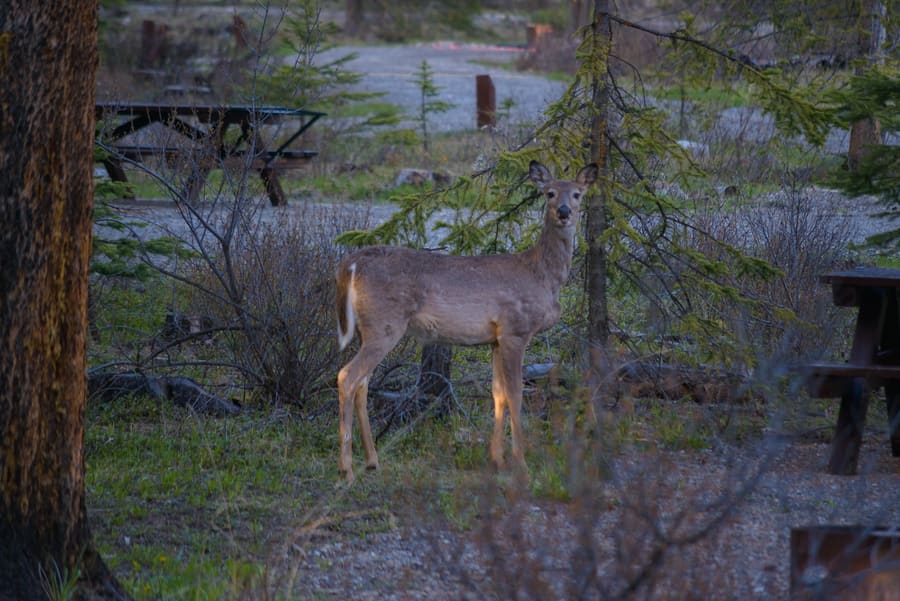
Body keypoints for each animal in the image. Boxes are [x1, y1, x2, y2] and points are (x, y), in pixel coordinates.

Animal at [332, 158, 596, 478]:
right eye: (549, 193)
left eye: (578, 194)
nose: (564, 212)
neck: (542, 275)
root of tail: (350, 264)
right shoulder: (515, 330)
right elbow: (516, 394)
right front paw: (520, 463)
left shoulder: (495, 339)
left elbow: (498, 394)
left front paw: (496, 460)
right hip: (385, 324)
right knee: (347, 377)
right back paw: (346, 468)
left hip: (368, 329)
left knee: (362, 383)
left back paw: (372, 460)